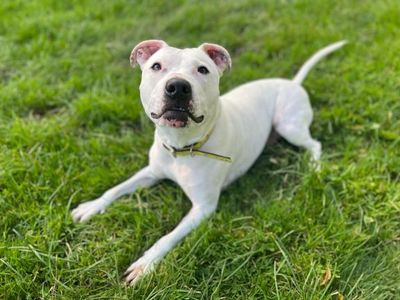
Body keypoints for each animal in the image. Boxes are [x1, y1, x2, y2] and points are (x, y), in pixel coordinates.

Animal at [70, 39, 346, 284]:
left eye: (202, 69)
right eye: (156, 66)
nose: (178, 87)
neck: (181, 148)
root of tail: (292, 83)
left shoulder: (203, 208)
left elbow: (167, 238)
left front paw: (145, 264)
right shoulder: (151, 172)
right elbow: (115, 189)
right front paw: (92, 206)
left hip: (289, 125)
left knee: (314, 144)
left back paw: (315, 167)